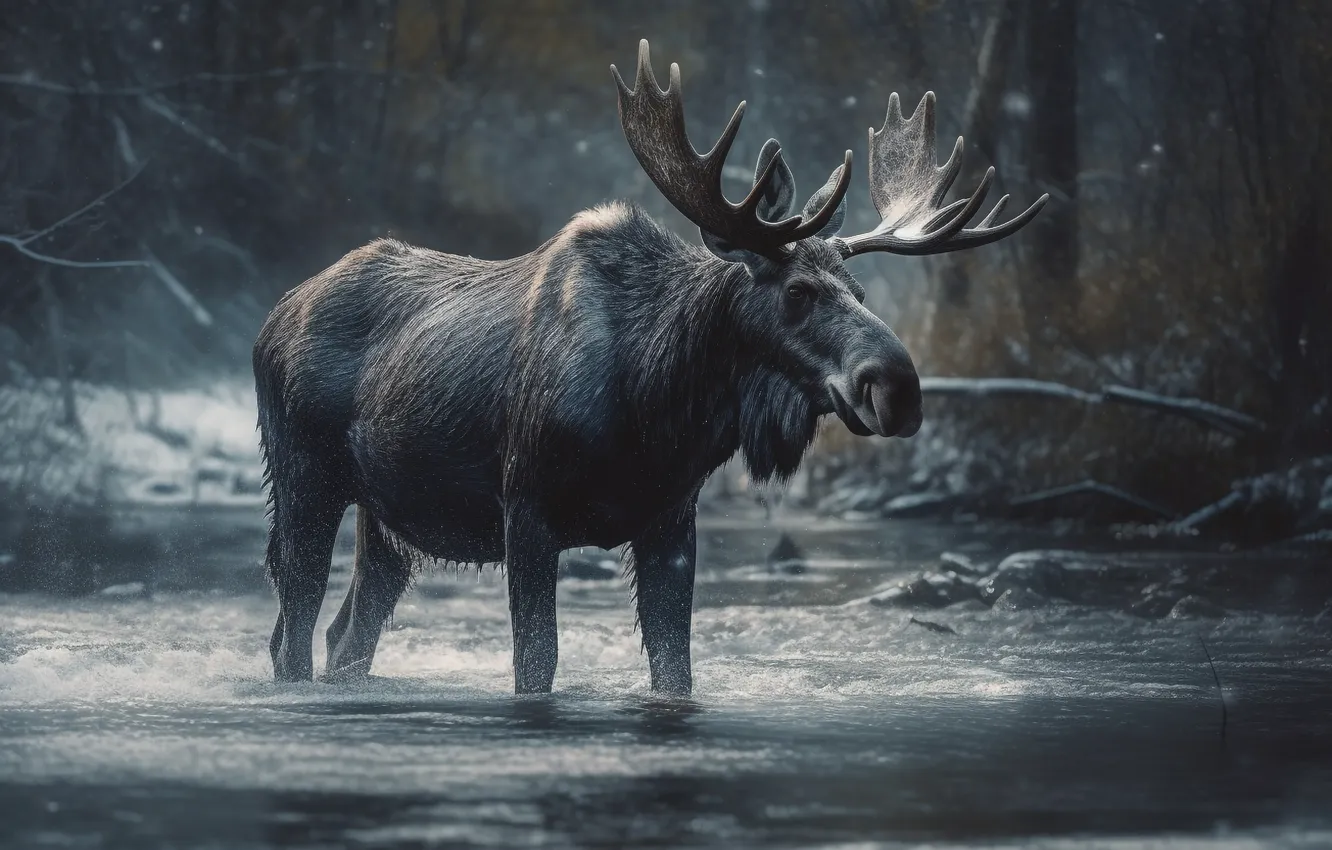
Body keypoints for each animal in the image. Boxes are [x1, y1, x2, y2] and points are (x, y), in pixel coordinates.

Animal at [252, 40, 1047, 695]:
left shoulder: (668, 517)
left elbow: (676, 668)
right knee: (291, 633)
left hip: (388, 519)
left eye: (858, 291)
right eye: (798, 292)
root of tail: (273, 318)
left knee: (345, 635)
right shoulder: (526, 509)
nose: (897, 388)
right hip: (304, 477)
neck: (656, 404)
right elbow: (536, 664)